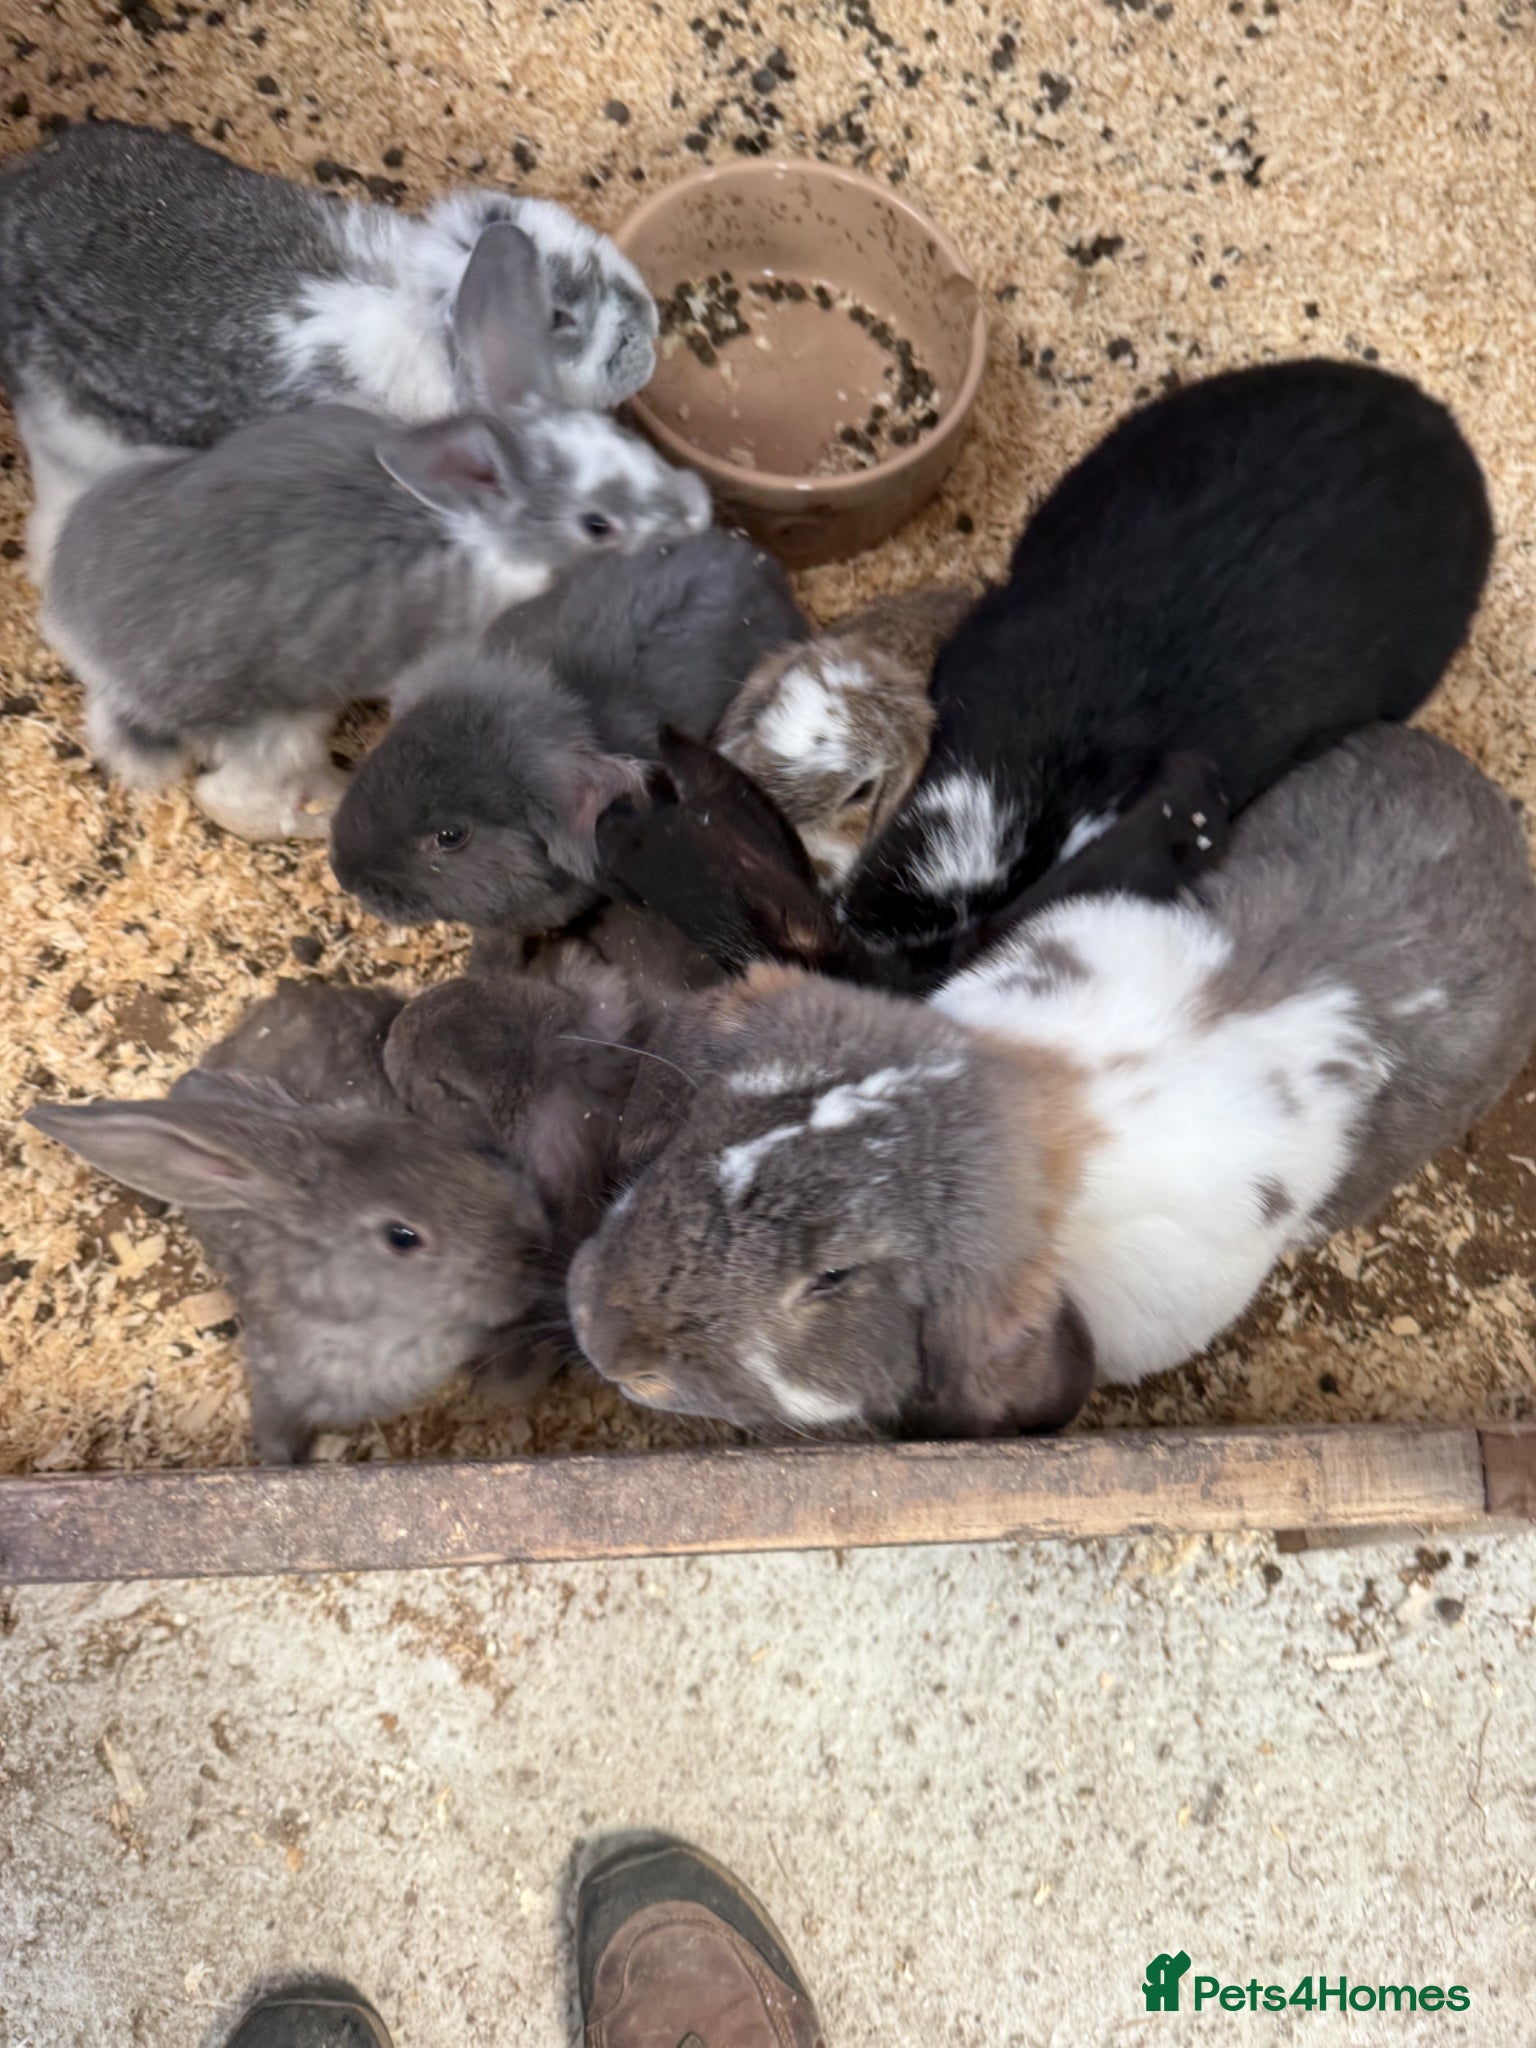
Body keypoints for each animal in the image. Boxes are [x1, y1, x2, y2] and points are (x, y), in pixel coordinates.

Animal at [41, 225, 711, 841]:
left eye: (628, 443)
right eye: (597, 524)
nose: (699, 510)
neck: (492, 537)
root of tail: (77, 637)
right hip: (277, 722)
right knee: (231, 798)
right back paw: (326, 806)